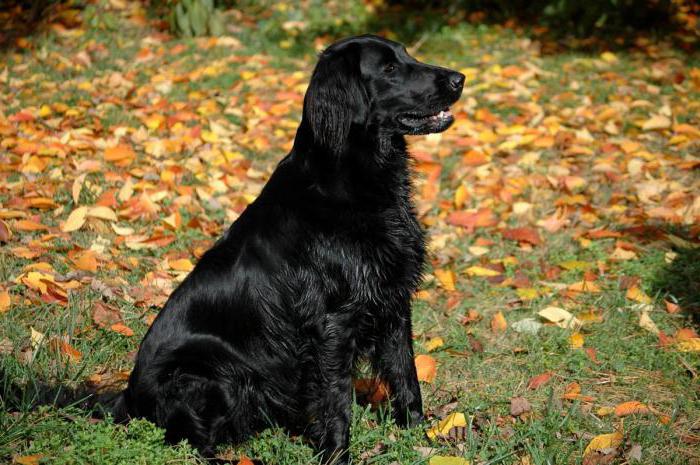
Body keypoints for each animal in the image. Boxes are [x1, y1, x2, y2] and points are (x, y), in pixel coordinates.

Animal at [114, 34, 462, 462]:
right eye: (390, 68)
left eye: (407, 54)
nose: (460, 78)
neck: (352, 180)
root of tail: (127, 399)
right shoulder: (332, 320)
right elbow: (336, 400)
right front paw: (336, 454)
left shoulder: (392, 300)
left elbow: (405, 374)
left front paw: (419, 436)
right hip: (210, 371)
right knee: (193, 441)